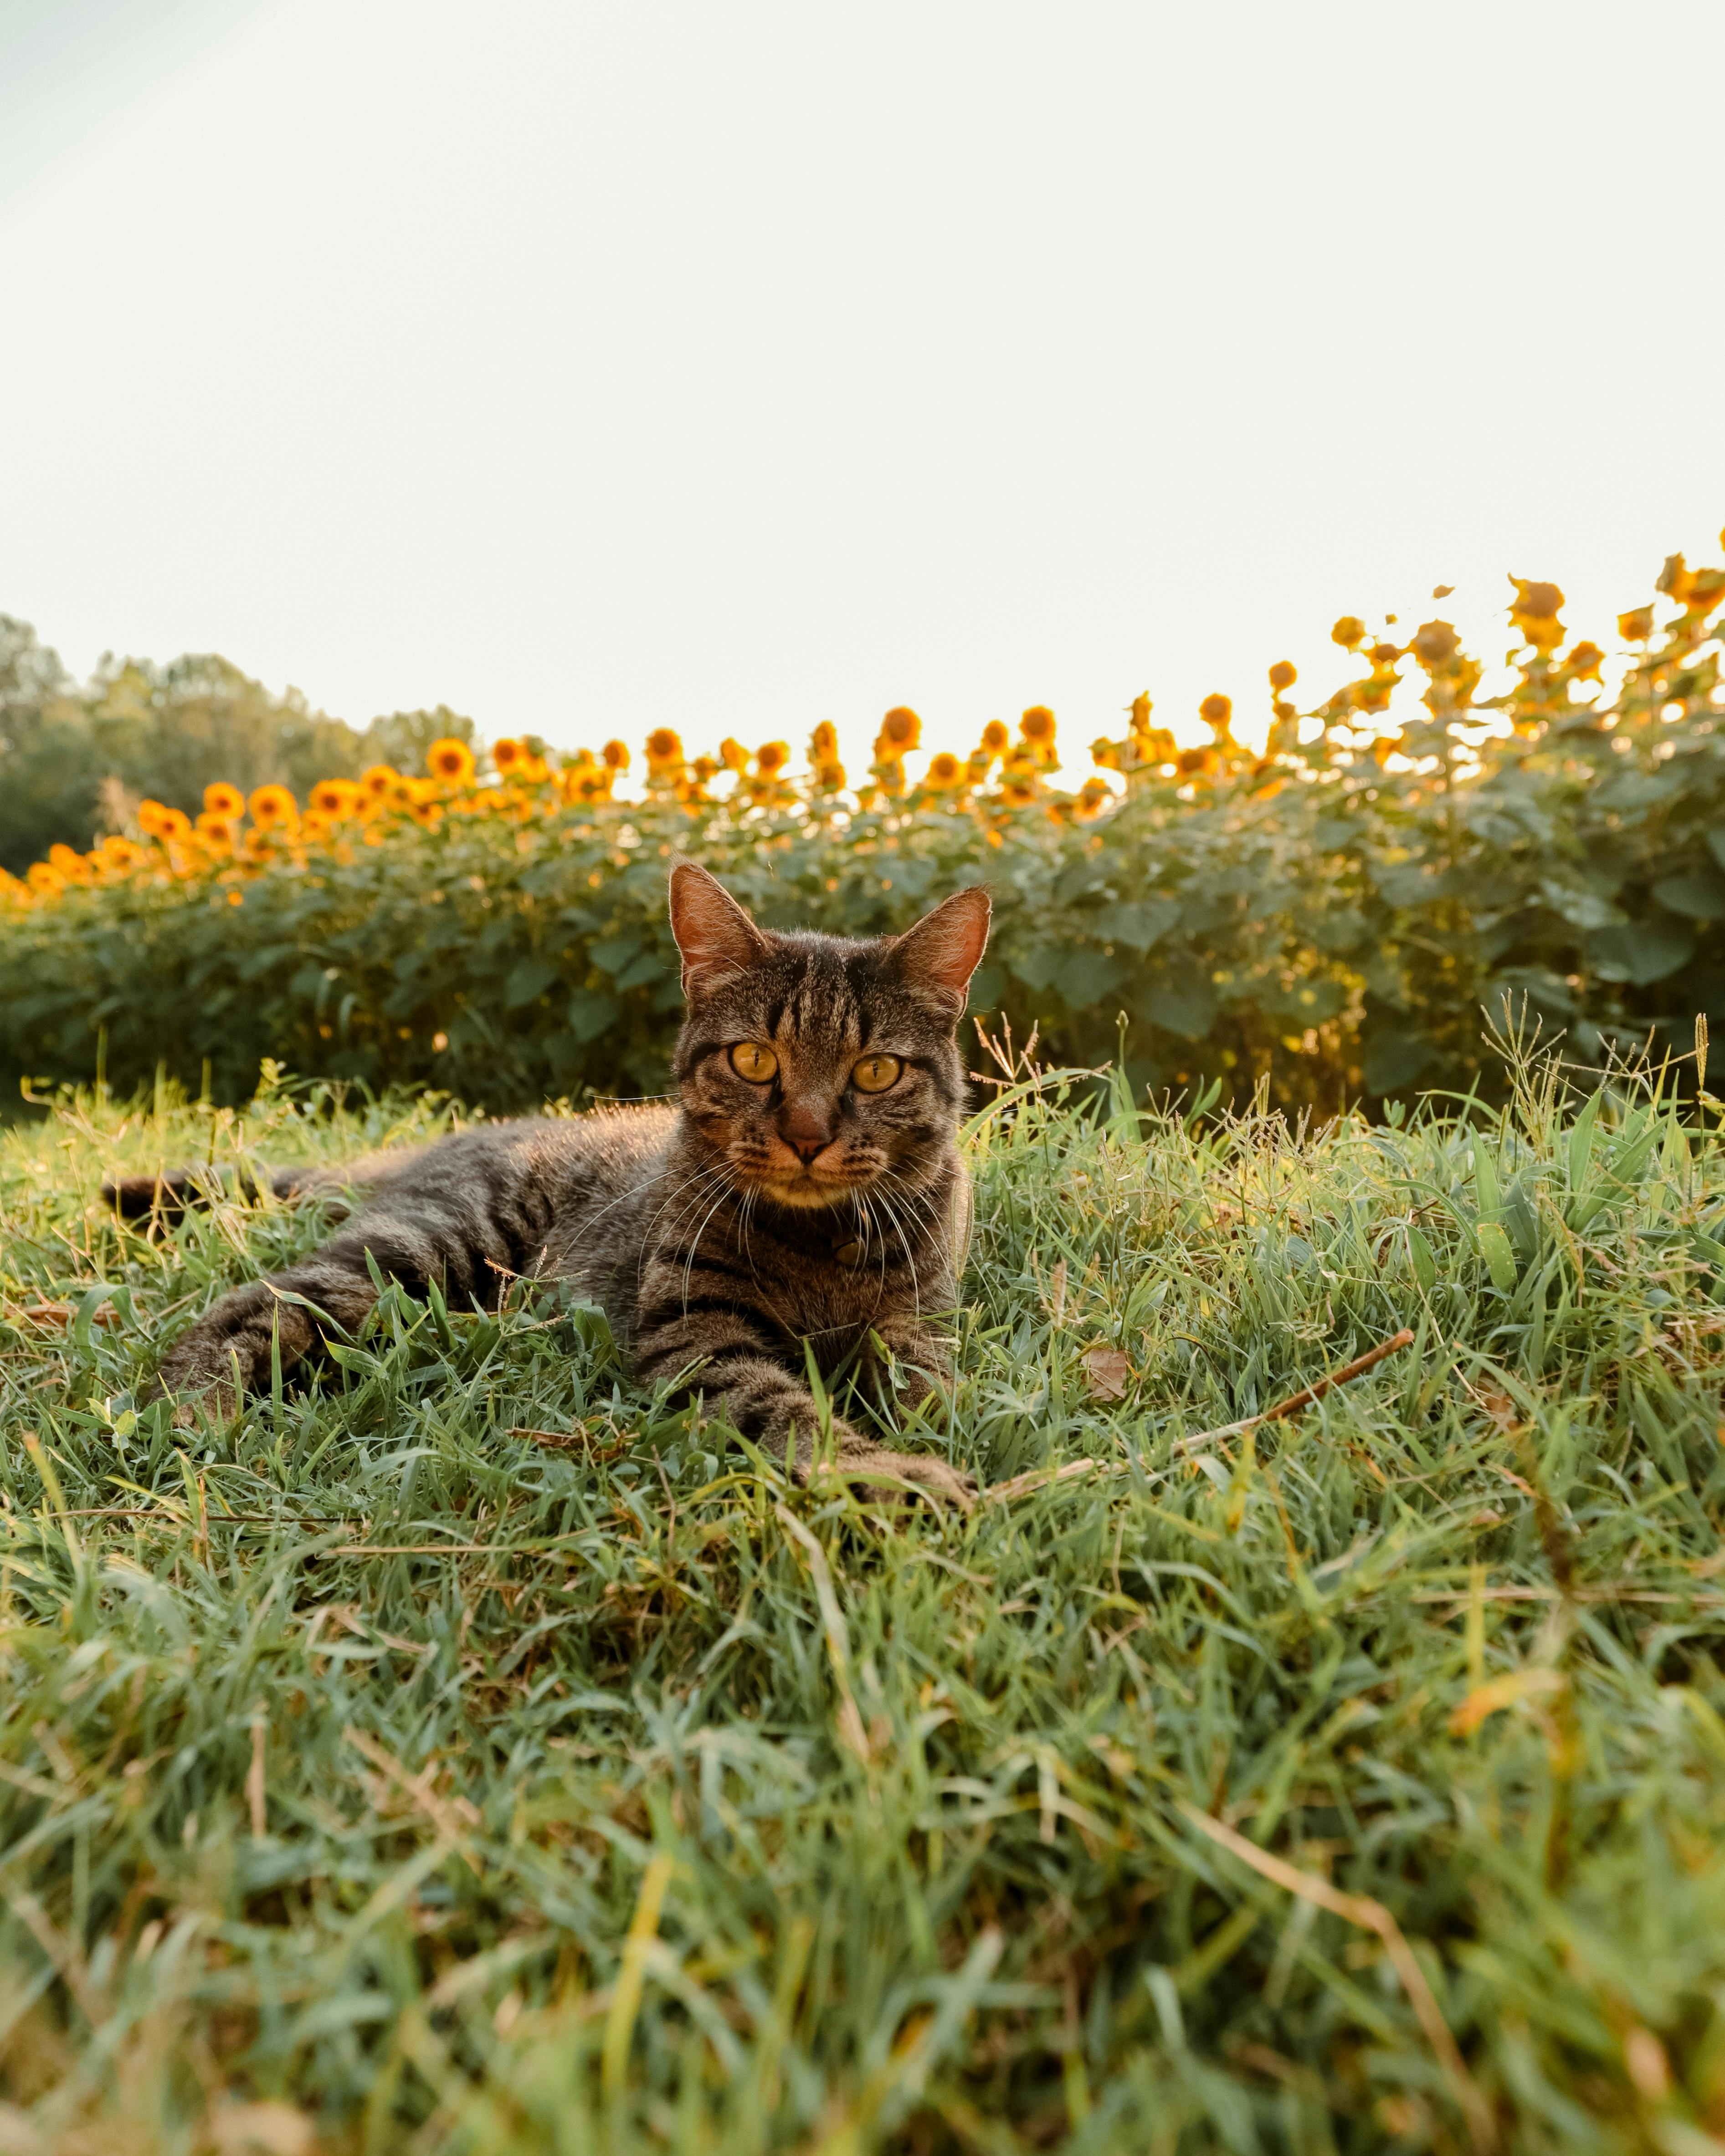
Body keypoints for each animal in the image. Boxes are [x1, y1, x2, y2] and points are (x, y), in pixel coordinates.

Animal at [108, 867, 991, 1509]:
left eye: (875, 1071)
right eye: (753, 1060)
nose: (807, 1137)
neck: (820, 1243)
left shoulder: (917, 1328)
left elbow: (933, 1396)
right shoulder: (695, 1336)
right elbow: (782, 1411)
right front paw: (897, 1475)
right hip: (428, 1245)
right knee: (242, 1310)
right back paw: (190, 1416)